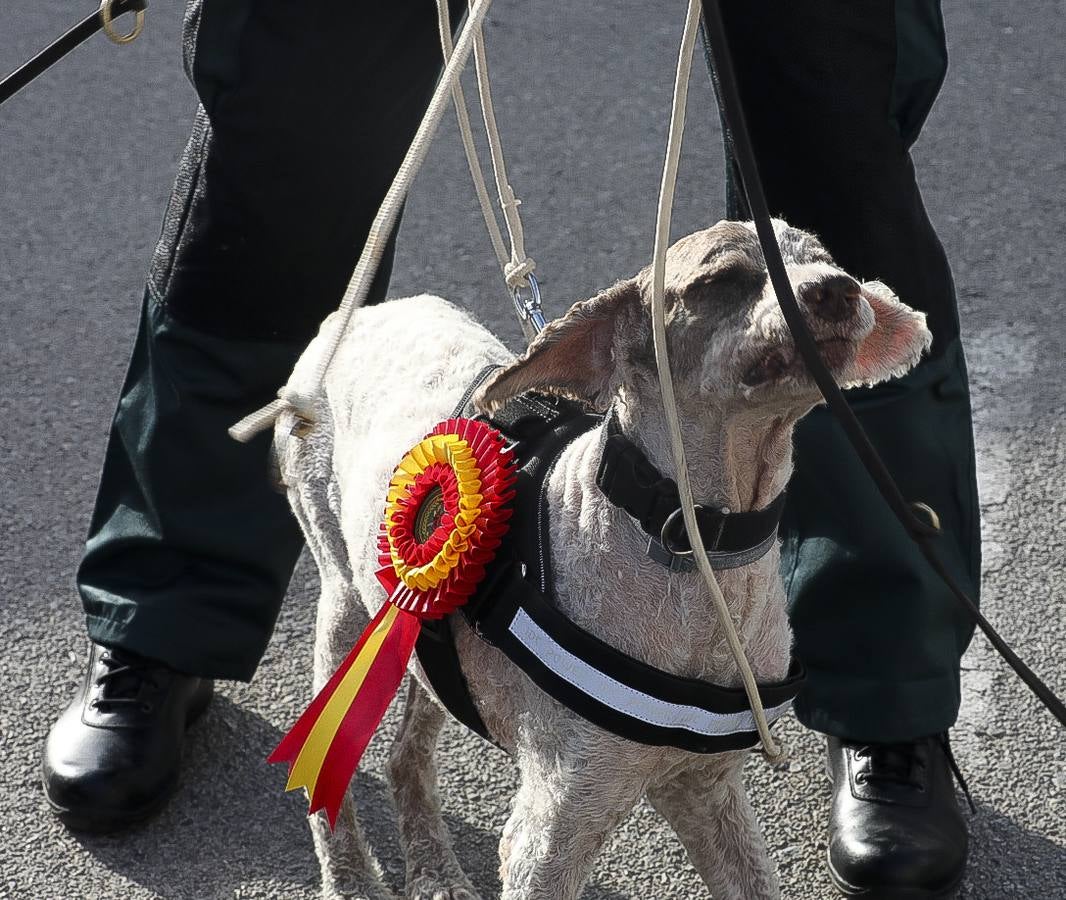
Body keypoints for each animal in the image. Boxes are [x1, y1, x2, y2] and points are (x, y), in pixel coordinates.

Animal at [272, 219, 933, 900]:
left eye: (828, 259)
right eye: (723, 279)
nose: (839, 290)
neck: (696, 551)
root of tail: (357, 315)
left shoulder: (707, 790)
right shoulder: (552, 831)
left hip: (419, 628)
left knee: (407, 751)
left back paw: (436, 873)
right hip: (345, 606)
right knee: (323, 774)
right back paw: (352, 878)